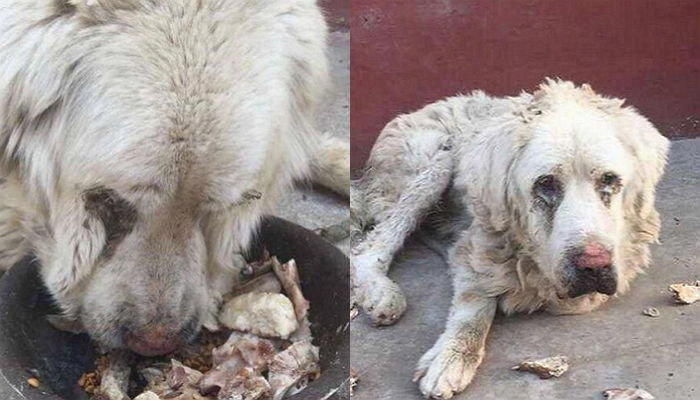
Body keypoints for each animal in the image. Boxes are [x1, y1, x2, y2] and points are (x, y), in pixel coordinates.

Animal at [352, 79, 668, 398]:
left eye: (608, 179)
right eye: (546, 184)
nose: (593, 266)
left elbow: (575, 299)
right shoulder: (482, 248)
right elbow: (475, 306)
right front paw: (451, 356)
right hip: (436, 164)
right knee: (371, 247)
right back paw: (381, 293)